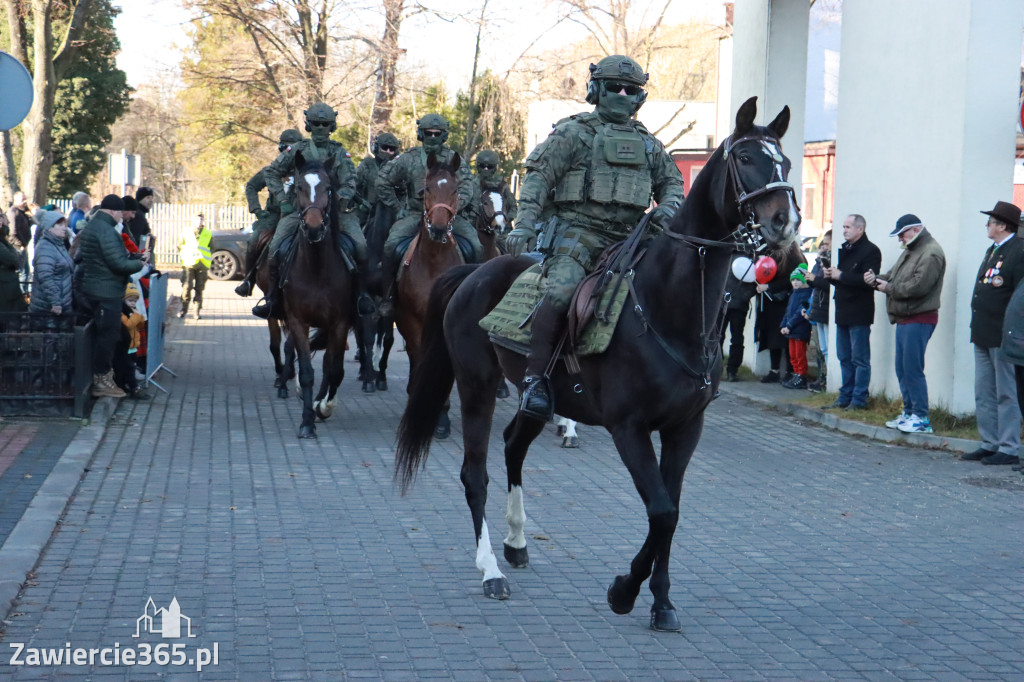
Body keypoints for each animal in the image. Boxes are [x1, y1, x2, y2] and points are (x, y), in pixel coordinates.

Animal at [278, 152, 374, 436]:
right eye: (299, 186)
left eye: (328, 188)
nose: (313, 228)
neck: (316, 269)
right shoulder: (298, 320)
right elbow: (307, 370)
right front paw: (307, 422)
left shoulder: (339, 322)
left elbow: (335, 369)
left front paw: (324, 406)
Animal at [395, 98, 802, 630]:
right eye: (746, 158)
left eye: (786, 162)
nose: (785, 223)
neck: (668, 307)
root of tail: (473, 271)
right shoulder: (628, 427)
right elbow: (661, 510)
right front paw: (624, 591)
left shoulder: (685, 428)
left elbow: (671, 511)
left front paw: (662, 602)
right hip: (477, 386)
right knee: (475, 473)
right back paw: (490, 571)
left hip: (537, 397)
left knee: (513, 446)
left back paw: (517, 541)